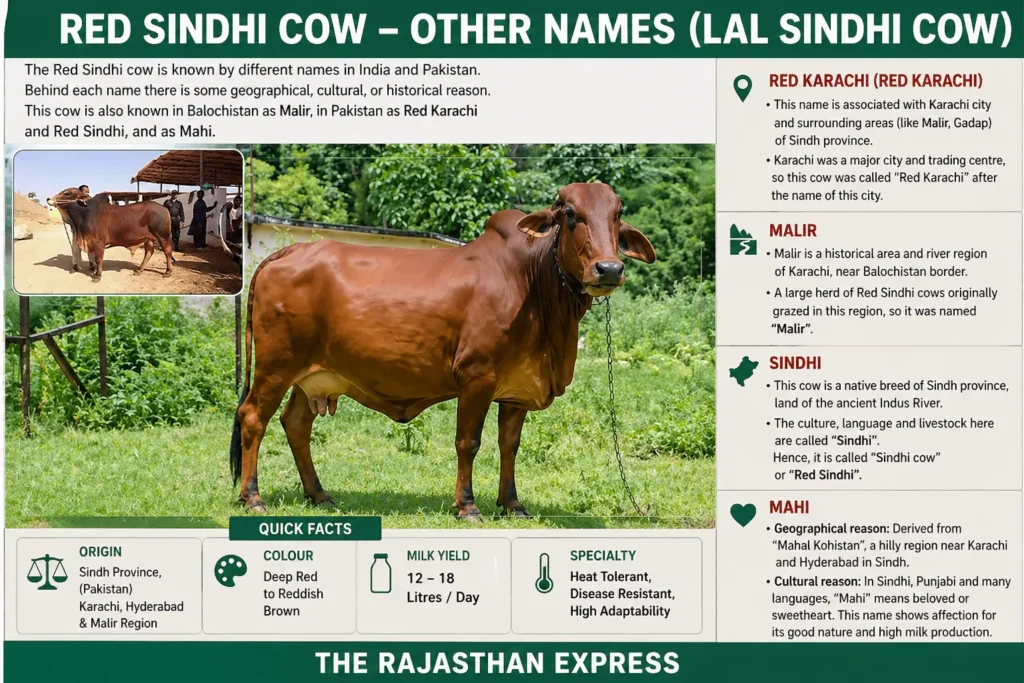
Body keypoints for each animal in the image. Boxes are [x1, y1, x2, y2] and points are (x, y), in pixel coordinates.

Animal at [229, 183, 656, 518]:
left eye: (617, 215)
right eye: (570, 214)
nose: (609, 269)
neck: (532, 283)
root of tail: (284, 254)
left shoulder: (516, 387)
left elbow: (509, 445)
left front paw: (512, 503)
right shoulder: (476, 375)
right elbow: (468, 443)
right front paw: (467, 505)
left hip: (313, 376)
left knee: (295, 424)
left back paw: (319, 494)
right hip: (276, 367)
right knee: (253, 418)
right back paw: (253, 497)